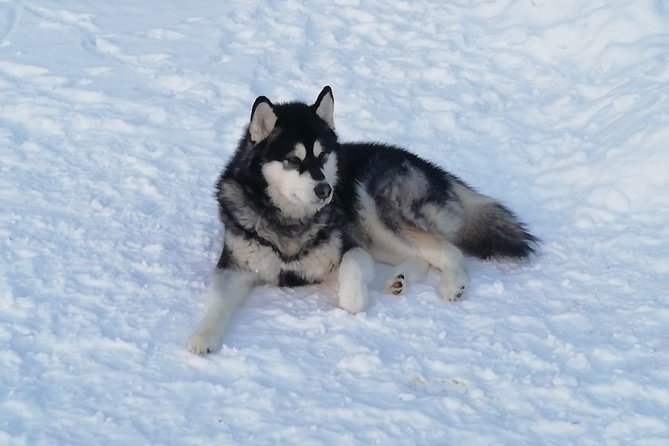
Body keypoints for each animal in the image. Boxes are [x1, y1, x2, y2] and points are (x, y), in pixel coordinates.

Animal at [187, 85, 532, 354]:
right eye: (293, 160)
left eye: (323, 155)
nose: (325, 189)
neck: (289, 222)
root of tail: (431, 168)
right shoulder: (235, 265)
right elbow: (217, 301)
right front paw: (202, 336)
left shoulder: (349, 247)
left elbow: (352, 267)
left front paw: (353, 299)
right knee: (422, 256)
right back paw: (399, 278)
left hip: (373, 209)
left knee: (448, 249)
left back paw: (451, 283)